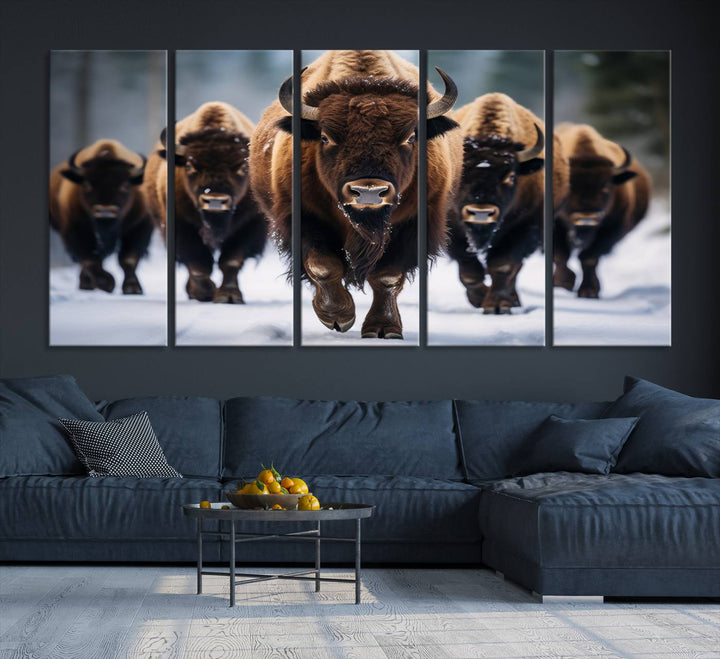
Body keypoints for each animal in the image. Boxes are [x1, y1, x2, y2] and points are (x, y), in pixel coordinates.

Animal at [47, 141, 152, 296]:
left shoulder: (139, 227)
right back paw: (86, 284)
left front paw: (132, 288)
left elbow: (128, 259)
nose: (105, 212)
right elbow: (90, 260)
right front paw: (107, 283)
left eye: (125, 184)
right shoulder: (76, 230)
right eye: (86, 184)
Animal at [145, 102, 268, 302]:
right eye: (189, 166)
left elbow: (231, 261)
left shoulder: (249, 225)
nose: (215, 200)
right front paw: (205, 293)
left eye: (243, 167)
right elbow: (198, 262)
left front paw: (229, 296)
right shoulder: (181, 226)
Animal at [249, 50, 462, 340]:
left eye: (410, 137)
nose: (368, 192)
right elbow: (322, 265)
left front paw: (383, 328)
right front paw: (338, 317)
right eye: (325, 137)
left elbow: (388, 276)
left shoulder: (415, 222)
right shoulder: (304, 217)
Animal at [444, 92, 556, 314]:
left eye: (511, 176)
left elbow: (503, 266)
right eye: (461, 172)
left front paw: (497, 305)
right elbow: (469, 270)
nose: (481, 213)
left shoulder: (524, 228)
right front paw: (479, 299)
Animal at [552, 122, 652, 298]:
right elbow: (561, 255)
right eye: (569, 188)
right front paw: (562, 284)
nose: (587, 219)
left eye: (605, 187)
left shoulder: (609, 230)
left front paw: (589, 291)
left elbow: (589, 258)